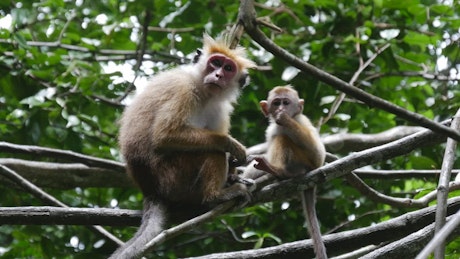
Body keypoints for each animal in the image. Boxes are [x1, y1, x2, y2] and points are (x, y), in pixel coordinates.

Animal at [111, 34, 255, 259]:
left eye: (228, 68)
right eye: (215, 63)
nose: (218, 75)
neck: (204, 93)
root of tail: (151, 189)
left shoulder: (220, 108)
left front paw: (234, 172)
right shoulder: (183, 89)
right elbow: (165, 136)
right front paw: (232, 145)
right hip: (173, 177)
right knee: (213, 151)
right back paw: (215, 196)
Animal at [244, 86, 328, 259]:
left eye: (286, 102)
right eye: (276, 103)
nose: (281, 109)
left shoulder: (302, 121)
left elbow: (318, 154)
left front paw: (285, 119)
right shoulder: (271, 129)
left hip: (304, 163)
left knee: (283, 139)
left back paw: (280, 171)